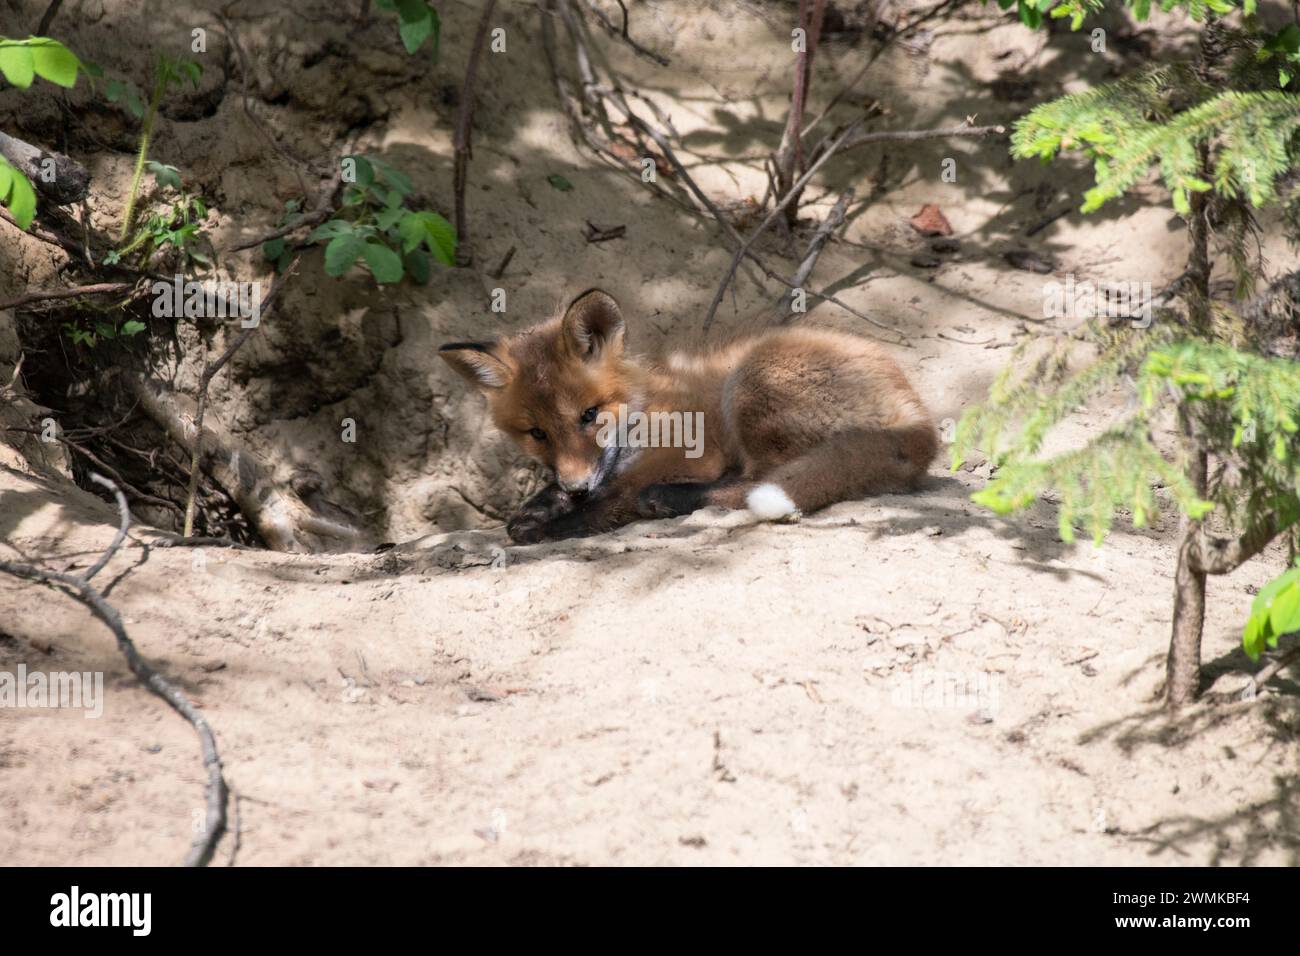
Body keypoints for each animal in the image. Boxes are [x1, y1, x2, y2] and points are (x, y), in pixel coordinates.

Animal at [436, 287, 935, 541]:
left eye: (589, 414)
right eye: (536, 433)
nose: (576, 486)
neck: (643, 407)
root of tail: (918, 419)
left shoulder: (690, 454)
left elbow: (614, 496)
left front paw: (561, 523)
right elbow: (581, 488)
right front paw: (544, 506)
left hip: (749, 383)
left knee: (756, 481)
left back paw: (671, 500)